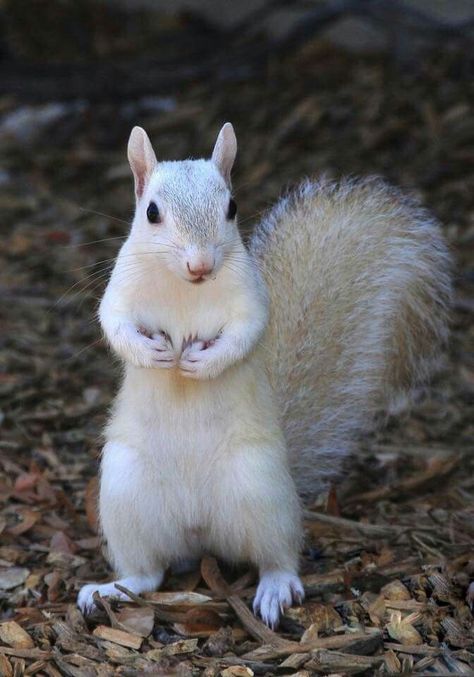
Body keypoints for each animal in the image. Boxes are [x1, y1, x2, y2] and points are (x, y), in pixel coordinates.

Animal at [78, 123, 452, 628]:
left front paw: (201, 363)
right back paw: (109, 590)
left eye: (232, 207)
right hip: (126, 496)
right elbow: (115, 326)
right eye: (151, 212)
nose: (200, 265)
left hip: (260, 490)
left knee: (276, 556)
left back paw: (275, 589)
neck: (183, 288)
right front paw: (152, 353)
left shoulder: (249, 300)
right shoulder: (120, 291)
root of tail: (199, 529)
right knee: (148, 573)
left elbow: (245, 333)